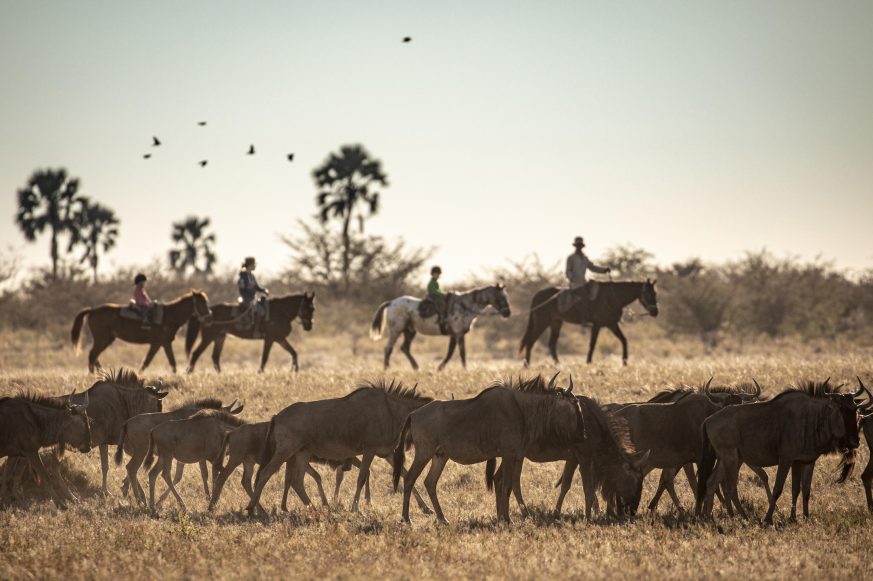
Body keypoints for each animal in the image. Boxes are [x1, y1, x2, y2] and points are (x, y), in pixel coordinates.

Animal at [71, 288, 211, 374]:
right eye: (200, 303)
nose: (209, 317)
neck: (169, 315)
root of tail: (92, 310)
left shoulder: (163, 344)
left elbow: (167, 362)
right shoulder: (159, 343)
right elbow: (151, 362)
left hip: (108, 339)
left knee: (95, 355)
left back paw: (102, 373)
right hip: (102, 339)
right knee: (93, 354)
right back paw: (94, 375)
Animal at [186, 292, 316, 374]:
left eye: (313, 308)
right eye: (306, 308)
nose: (309, 326)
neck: (280, 312)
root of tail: (206, 313)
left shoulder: (280, 339)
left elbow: (294, 352)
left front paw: (295, 370)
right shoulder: (270, 339)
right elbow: (265, 357)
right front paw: (260, 372)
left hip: (220, 337)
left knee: (215, 357)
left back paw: (220, 374)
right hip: (208, 337)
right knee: (196, 354)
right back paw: (189, 373)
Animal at [516, 280, 656, 368]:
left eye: (655, 293)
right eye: (647, 293)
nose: (655, 311)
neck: (612, 297)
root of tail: (538, 295)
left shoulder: (612, 324)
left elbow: (624, 340)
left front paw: (625, 362)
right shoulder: (597, 325)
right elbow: (592, 344)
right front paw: (588, 362)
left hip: (556, 322)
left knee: (551, 344)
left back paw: (558, 364)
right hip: (542, 322)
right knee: (531, 341)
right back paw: (526, 365)